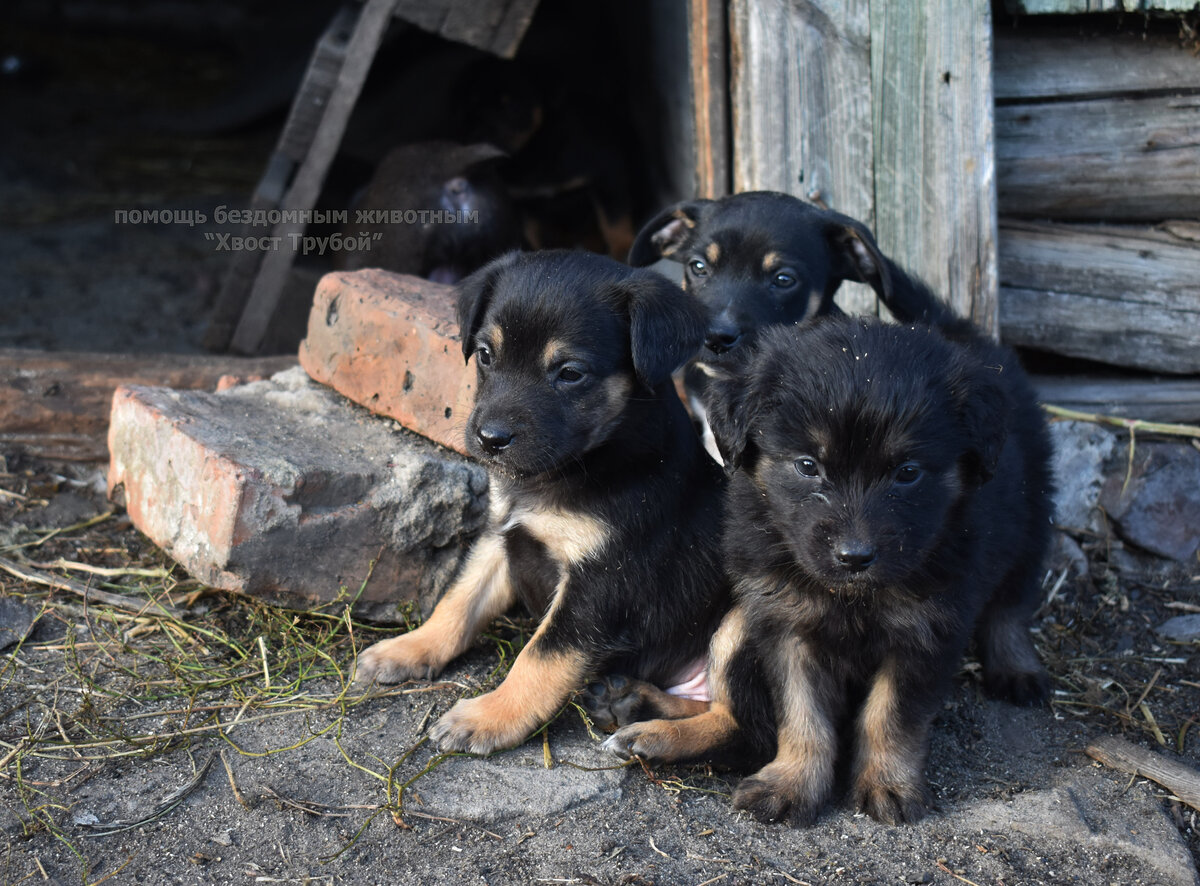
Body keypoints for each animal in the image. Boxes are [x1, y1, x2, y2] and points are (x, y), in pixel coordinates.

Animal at [352, 248, 729, 753]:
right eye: (486, 355)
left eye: (570, 373)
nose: (490, 439)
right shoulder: (500, 536)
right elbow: (457, 601)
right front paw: (410, 647)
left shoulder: (600, 583)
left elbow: (540, 656)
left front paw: (490, 716)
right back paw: (630, 703)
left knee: (742, 724)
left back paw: (653, 736)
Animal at [604, 314, 1056, 825]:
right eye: (807, 465)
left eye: (908, 472)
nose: (854, 557)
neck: (853, 596)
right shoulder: (784, 623)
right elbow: (802, 717)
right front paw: (792, 784)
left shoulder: (926, 630)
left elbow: (890, 717)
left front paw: (888, 784)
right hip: (740, 623)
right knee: (739, 722)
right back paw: (643, 714)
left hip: (1033, 519)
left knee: (1011, 606)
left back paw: (1017, 669)